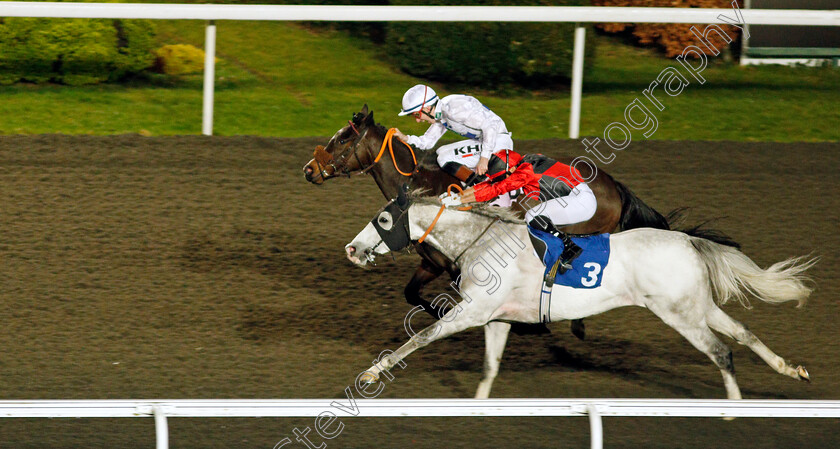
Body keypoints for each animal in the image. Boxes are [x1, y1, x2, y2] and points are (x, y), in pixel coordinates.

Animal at [342, 192, 812, 400]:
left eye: (383, 219)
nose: (351, 248)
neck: (484, 239)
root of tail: (687, 241)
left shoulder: (472, 312)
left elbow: (418, 339)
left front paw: (371, 373)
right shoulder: (497, 317)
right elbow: (490, 367)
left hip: (678, 314)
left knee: (721, 351)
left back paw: (733, 409)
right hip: (698, 306)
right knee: (743, 333)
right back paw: (791, 370)